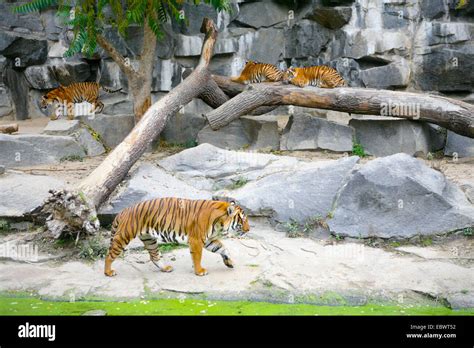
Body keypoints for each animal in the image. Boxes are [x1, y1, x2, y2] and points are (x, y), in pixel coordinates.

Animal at [105, 198, 250, 278]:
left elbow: (223, 248)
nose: (248, 229)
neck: (219, 222)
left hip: (149, 239)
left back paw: (165, 268)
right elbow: (197, 257)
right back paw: (108, 272)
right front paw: (199, 271)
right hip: (123, 236)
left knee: (154, 256)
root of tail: (124, 210)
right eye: (242, 220)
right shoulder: (196, 240)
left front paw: (229, 262)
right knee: (110, 254)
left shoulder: (209, 240)